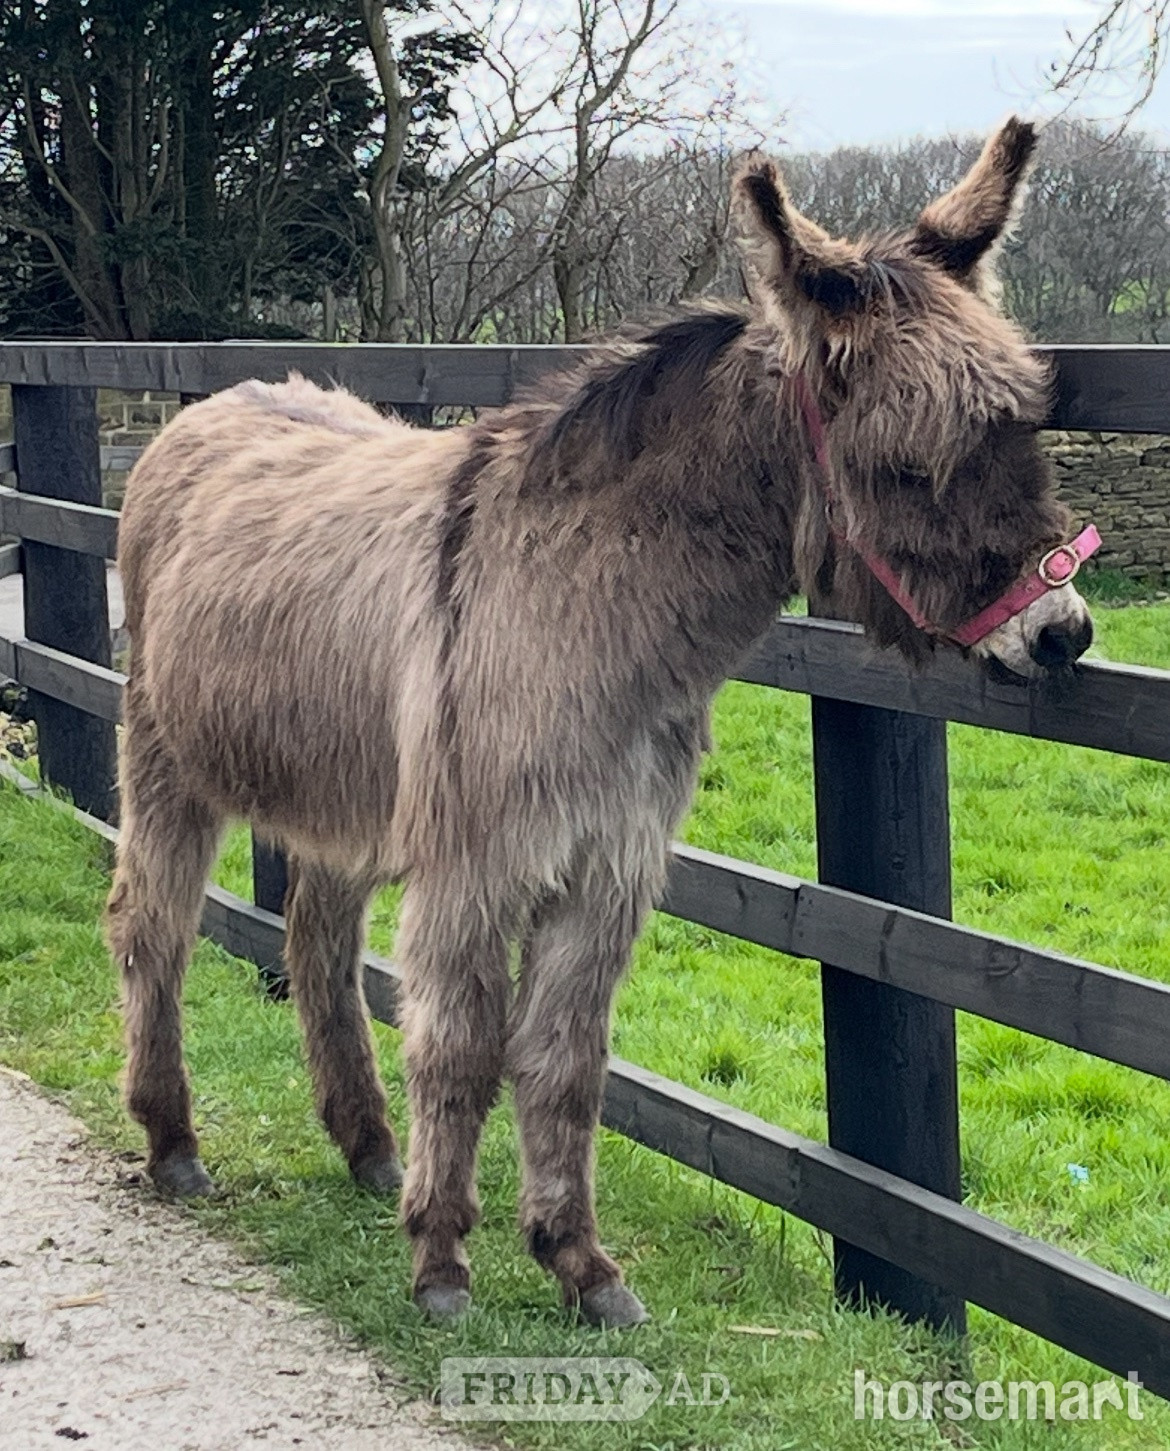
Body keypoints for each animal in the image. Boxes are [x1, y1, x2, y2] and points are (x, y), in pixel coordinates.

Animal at [108, 117, 1094, 1328]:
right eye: (911, 464)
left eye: (1028, 430)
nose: (1062, 631)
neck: (590, 611)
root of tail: (210, 404)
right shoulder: (478, 865)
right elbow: (462, 1047)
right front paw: (443, 1262)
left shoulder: (608, 866)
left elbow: (568, 1059)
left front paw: (578, 1261)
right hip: (168, 757)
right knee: (151, 925)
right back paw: (174, 1140)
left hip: (342, 783)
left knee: (317, 940)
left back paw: (367, 1145)